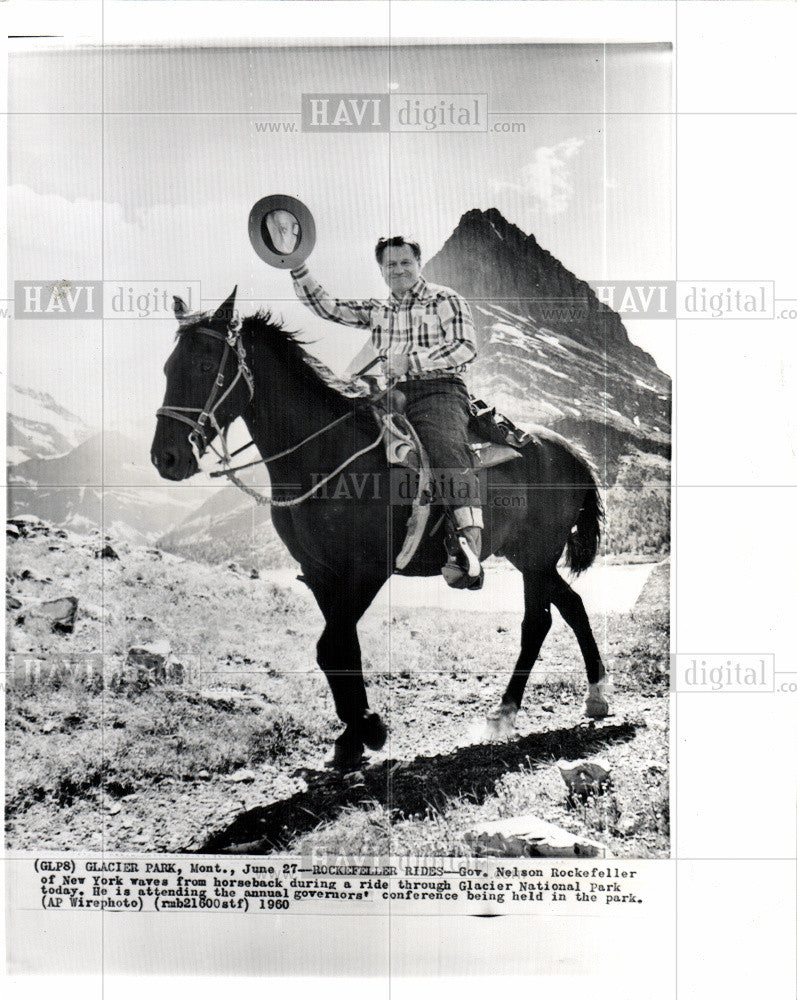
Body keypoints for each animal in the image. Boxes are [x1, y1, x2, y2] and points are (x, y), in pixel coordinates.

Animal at [152, 290, 608, 772]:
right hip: (530, 558)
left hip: (536, 557)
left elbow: (330, 646)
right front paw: (353, 735)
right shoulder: (320, 573)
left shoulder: (368, 570)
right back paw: (593, 697)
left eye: (206, 366)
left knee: (537, 621)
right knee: (571, 607)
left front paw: (369, 728)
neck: (327, 454)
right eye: (167, 368)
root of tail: (573, 453)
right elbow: (341, 649)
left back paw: (505, 712)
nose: (166, 457)